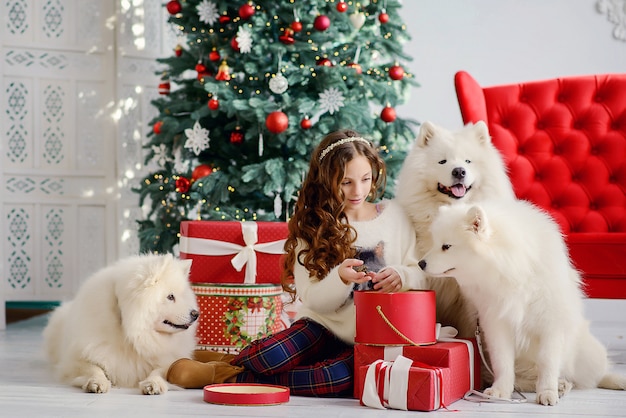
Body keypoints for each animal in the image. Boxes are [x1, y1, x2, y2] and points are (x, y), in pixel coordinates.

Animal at [43, 253, 199, 394]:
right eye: (170, 297)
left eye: (182, 296)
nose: (196, 314)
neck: (130, 332)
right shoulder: (75, 360)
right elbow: (94, 368)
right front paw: (97, 381)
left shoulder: (171, 361)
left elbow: (159, 371)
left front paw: (153, 383)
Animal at [414, 201, 624, 406]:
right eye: (435, 243)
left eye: (446, 246)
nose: (420, 264)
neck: (510, 269)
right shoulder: (496, 322)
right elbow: (503, 361)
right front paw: (501, 391)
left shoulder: (551, 322)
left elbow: (547, 360)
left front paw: (547, 392)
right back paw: (560, 385)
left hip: (588, 354)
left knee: (594, 376)